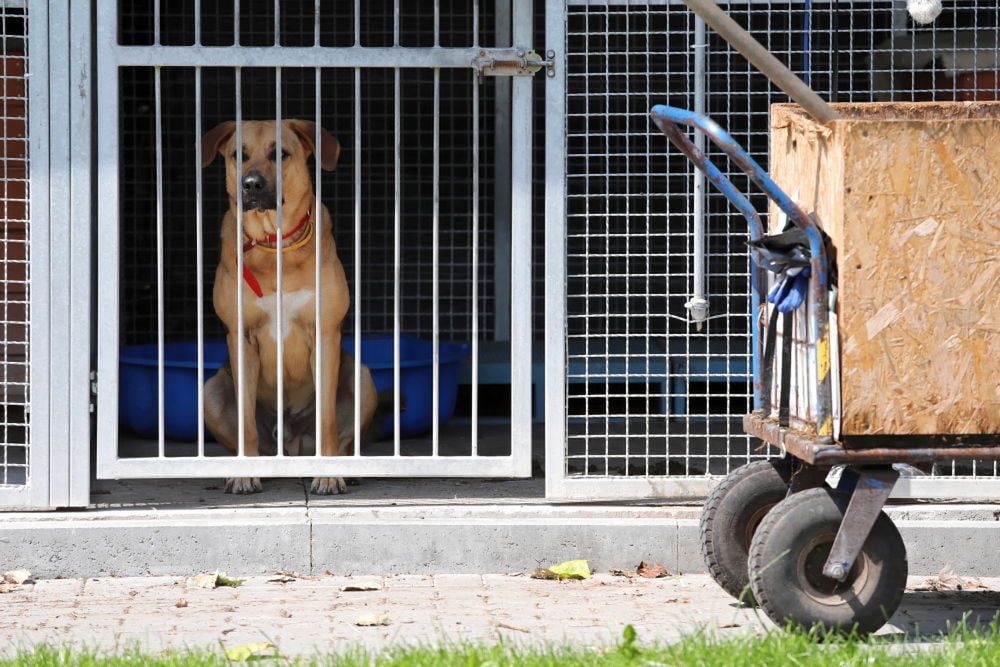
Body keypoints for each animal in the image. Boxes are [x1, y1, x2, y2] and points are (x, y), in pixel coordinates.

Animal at [200, 118, 378, 496]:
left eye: (279, 153)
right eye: (239, 155)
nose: (251, 184)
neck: (274, 245)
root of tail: (291, 447)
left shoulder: (324, 336)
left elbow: (327, 421)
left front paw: (328, 474)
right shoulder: (241, 338)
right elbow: (246, 424)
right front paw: (244, 474)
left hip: (362, 377)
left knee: (343, 437)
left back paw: (350, 467)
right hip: (211, 391)